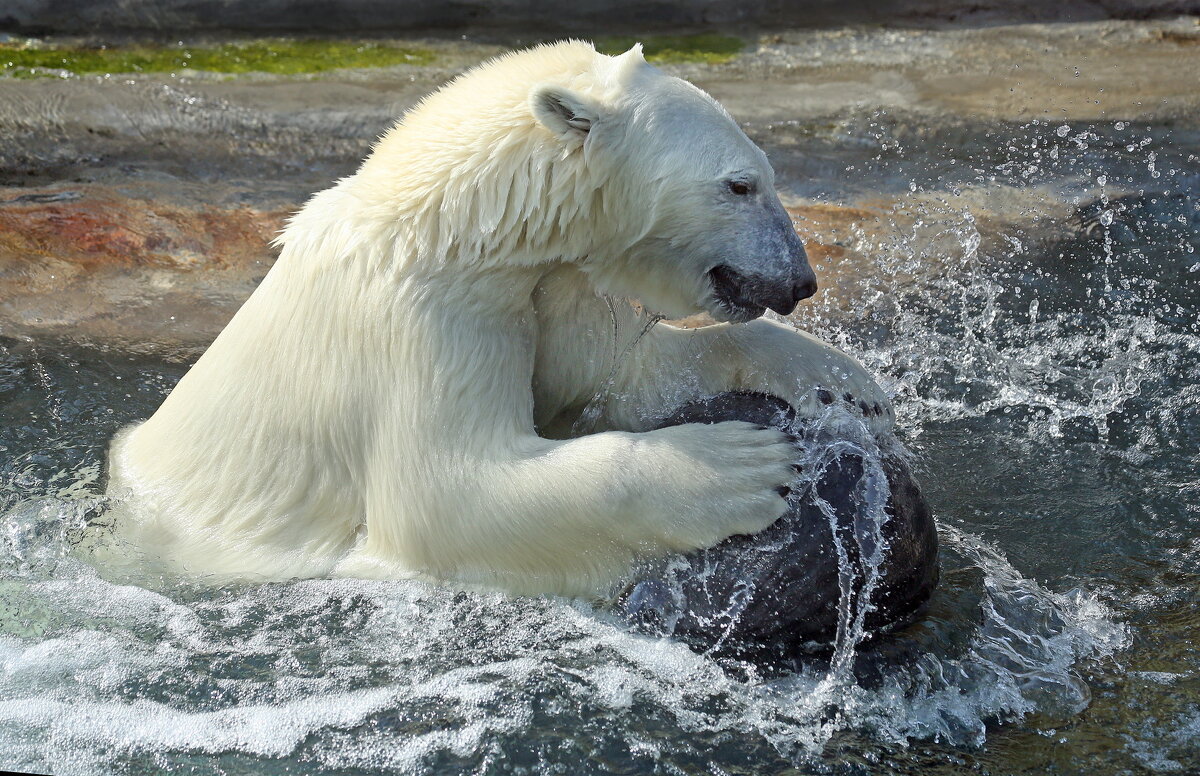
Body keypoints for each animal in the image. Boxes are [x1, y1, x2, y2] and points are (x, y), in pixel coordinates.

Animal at [100, 41, 892, 594]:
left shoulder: (547, 289)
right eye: (740, 184)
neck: (454, 225)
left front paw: (850, 384)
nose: (800, 280)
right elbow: (448, 495)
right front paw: (743, 465)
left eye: (764, 174)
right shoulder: (424, 319)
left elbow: (622, 376)